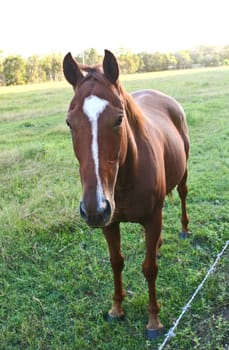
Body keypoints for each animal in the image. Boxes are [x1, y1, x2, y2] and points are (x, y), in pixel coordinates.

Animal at [62, 49, 190, 340]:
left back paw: (184, 229)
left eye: (119, 119)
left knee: (183, 195)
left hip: (184, 173)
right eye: (69, 122)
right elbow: (116, 262)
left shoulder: (152, 219)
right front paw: (116, 309)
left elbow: (149, 269)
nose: (94, 209)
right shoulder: (110, 223)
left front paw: (153, 321)